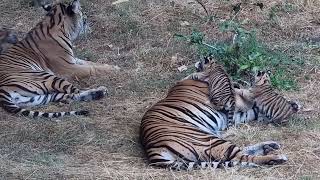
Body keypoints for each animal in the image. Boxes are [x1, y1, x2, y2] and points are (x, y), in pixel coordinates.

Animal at [140, 79, 288, 170]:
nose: (237, 84)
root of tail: (153, 152)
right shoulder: (233, 105)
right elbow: (250, 102)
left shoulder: (233, 114)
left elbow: (252, 111)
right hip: (208, 140)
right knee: (242, 157)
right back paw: (276, 157)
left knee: (239, 153)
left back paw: (269, 146)